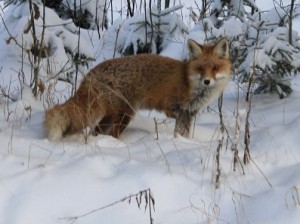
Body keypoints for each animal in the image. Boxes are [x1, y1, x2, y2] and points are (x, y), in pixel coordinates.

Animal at [44, 38, 232, 140]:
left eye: (215, 68)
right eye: (201, 68)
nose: (207, 81)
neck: (190, 83)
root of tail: (91, 72)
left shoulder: (189, 114)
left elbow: (182, 133)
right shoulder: (172, 107)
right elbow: (174, 117)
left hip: (111, 114)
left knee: (97, 131)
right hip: (125, 113)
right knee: (111, 134)